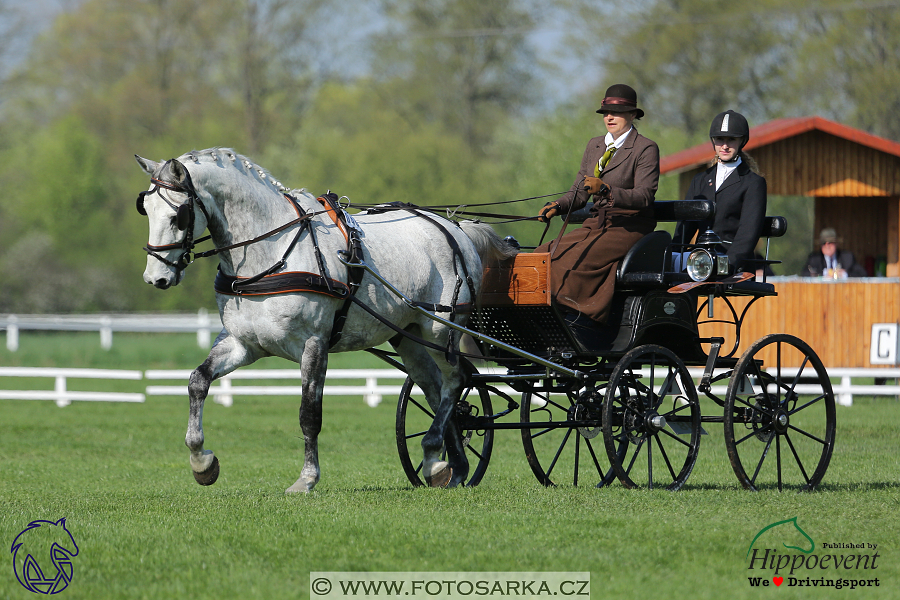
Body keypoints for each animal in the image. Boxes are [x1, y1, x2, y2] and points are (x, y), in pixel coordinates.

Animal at [134, 149, 512, 492]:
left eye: (179, 216)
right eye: (146, 210)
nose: (155, 278)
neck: (271, 253)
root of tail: (454, 227)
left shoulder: (313, 344)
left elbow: (308, 415)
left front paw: (307, 478)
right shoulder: (243, 344)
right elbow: (197, 382)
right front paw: (202, 462)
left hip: (440, 328)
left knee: (455, 380)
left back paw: (437, 454)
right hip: (409, 336)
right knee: (436, 388)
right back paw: (445, 465)